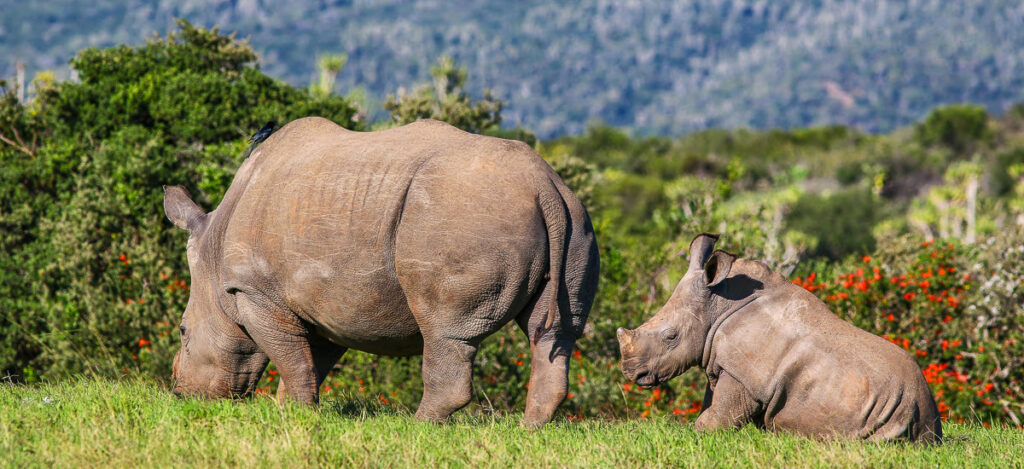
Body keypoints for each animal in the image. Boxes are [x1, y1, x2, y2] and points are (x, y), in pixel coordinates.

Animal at [163, 117, 599, 427]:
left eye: (183, 331)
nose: (182, 394)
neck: (214, 250)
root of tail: (544, 186)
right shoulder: (324, 304)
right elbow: (310, 361)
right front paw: (290, 412)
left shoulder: (255, 292)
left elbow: (294, 361)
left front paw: (297, 417)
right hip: (574, 221)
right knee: (553, 334)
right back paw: (531, 431)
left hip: (461, 216)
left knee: (444, 330)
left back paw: (419, 428)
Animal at [617, 234, 941, 442]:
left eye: (671, 336)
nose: (631, 372)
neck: (717, 306)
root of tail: (932, 422)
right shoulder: (723, 363)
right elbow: (712, 406)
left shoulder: (743, 372)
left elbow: (713, 421)